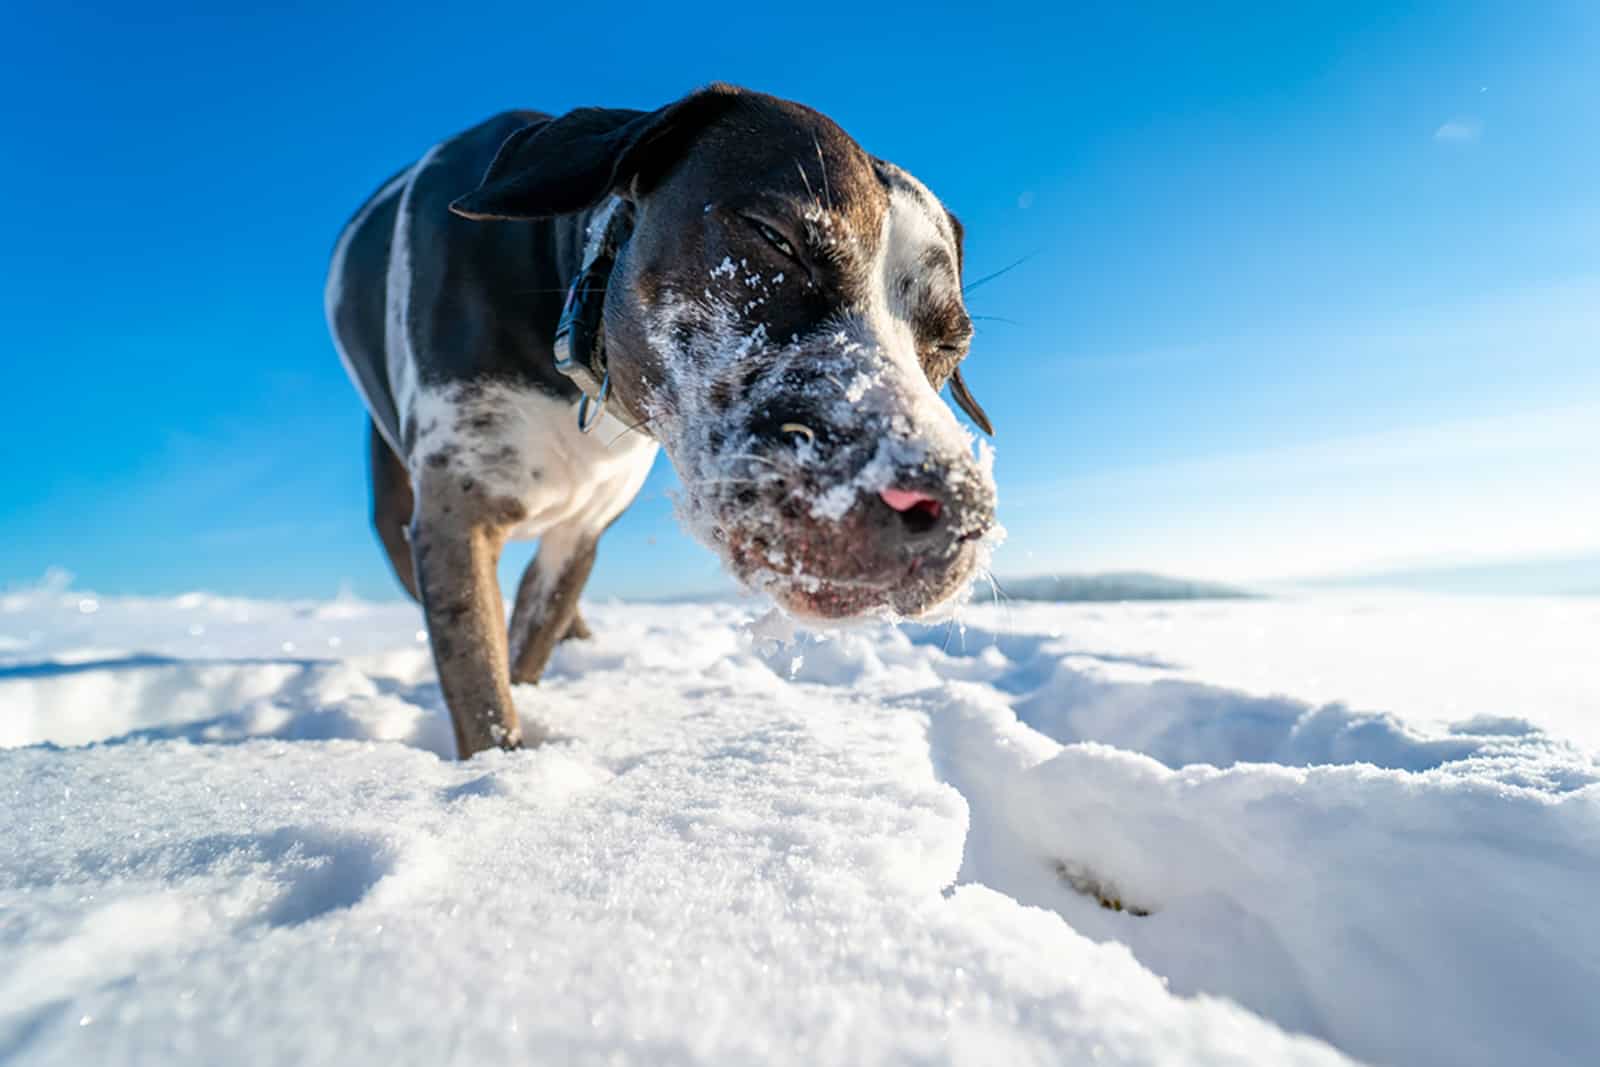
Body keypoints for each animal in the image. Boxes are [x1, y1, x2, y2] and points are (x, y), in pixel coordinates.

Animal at [326, 83, 998, 758]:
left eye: (952, 342)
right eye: (775, 238)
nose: (952, 508)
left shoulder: (580, 535)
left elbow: (530, 639)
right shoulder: (456, 518)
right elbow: (484, 688)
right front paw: (499, 766)